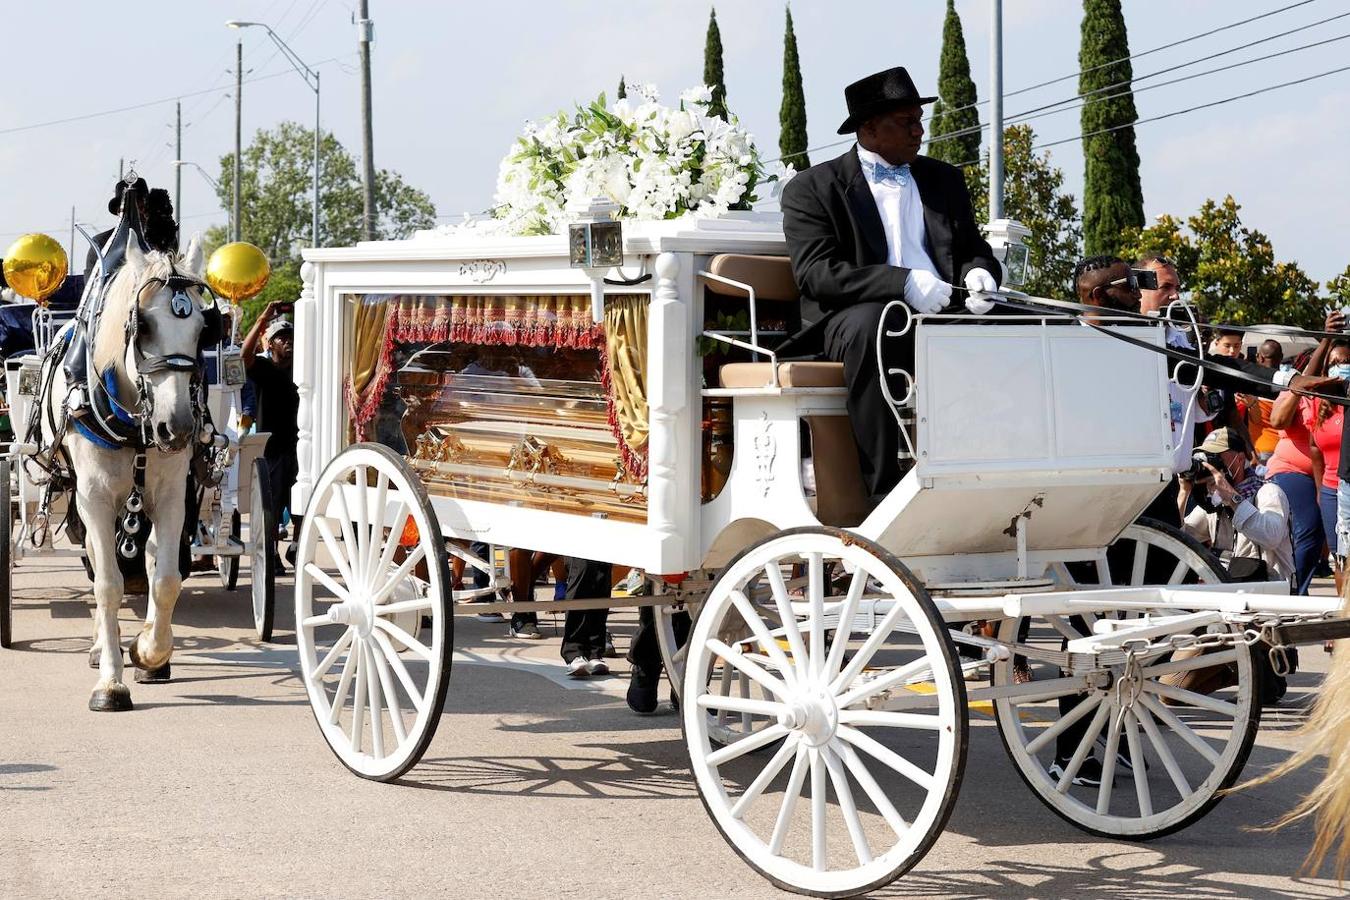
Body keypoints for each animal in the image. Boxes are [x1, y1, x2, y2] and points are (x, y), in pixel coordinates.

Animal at [42, 236, 211, 712]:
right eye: (145, 326)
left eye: (202, 330)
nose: (178, 428)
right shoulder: (94, 498)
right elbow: (108, 585)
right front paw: (111, 681)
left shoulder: (172, 495)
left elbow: (167, 579)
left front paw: (148, 653)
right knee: (101, 565)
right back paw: (103, 646)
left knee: (150, 560)